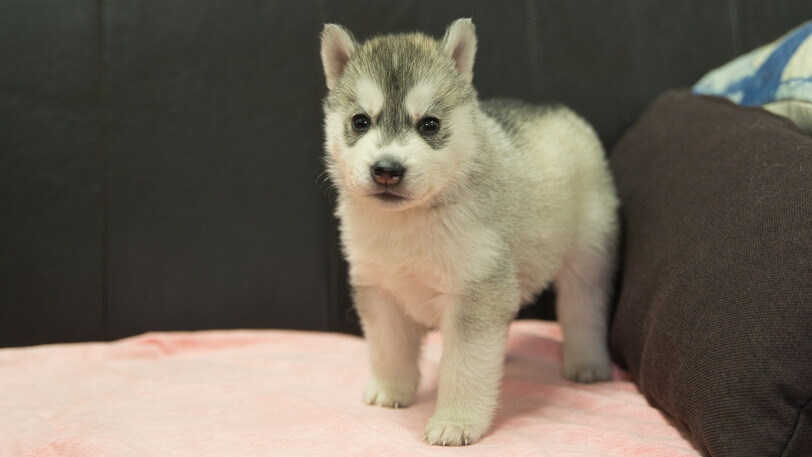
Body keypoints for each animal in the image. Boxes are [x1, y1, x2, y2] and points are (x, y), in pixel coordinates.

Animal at [319, 18, 619, 446]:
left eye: (430, 124)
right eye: (361, 121)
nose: (387, 170)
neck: (409, 221)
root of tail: (556, 110)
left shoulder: (476, 291)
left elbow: (464, 367)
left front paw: (456, 422)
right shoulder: (378, 288)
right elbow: (388, 346)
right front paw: (391, 390)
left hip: (588, 252)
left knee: (584, 307)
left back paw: (586, 363)